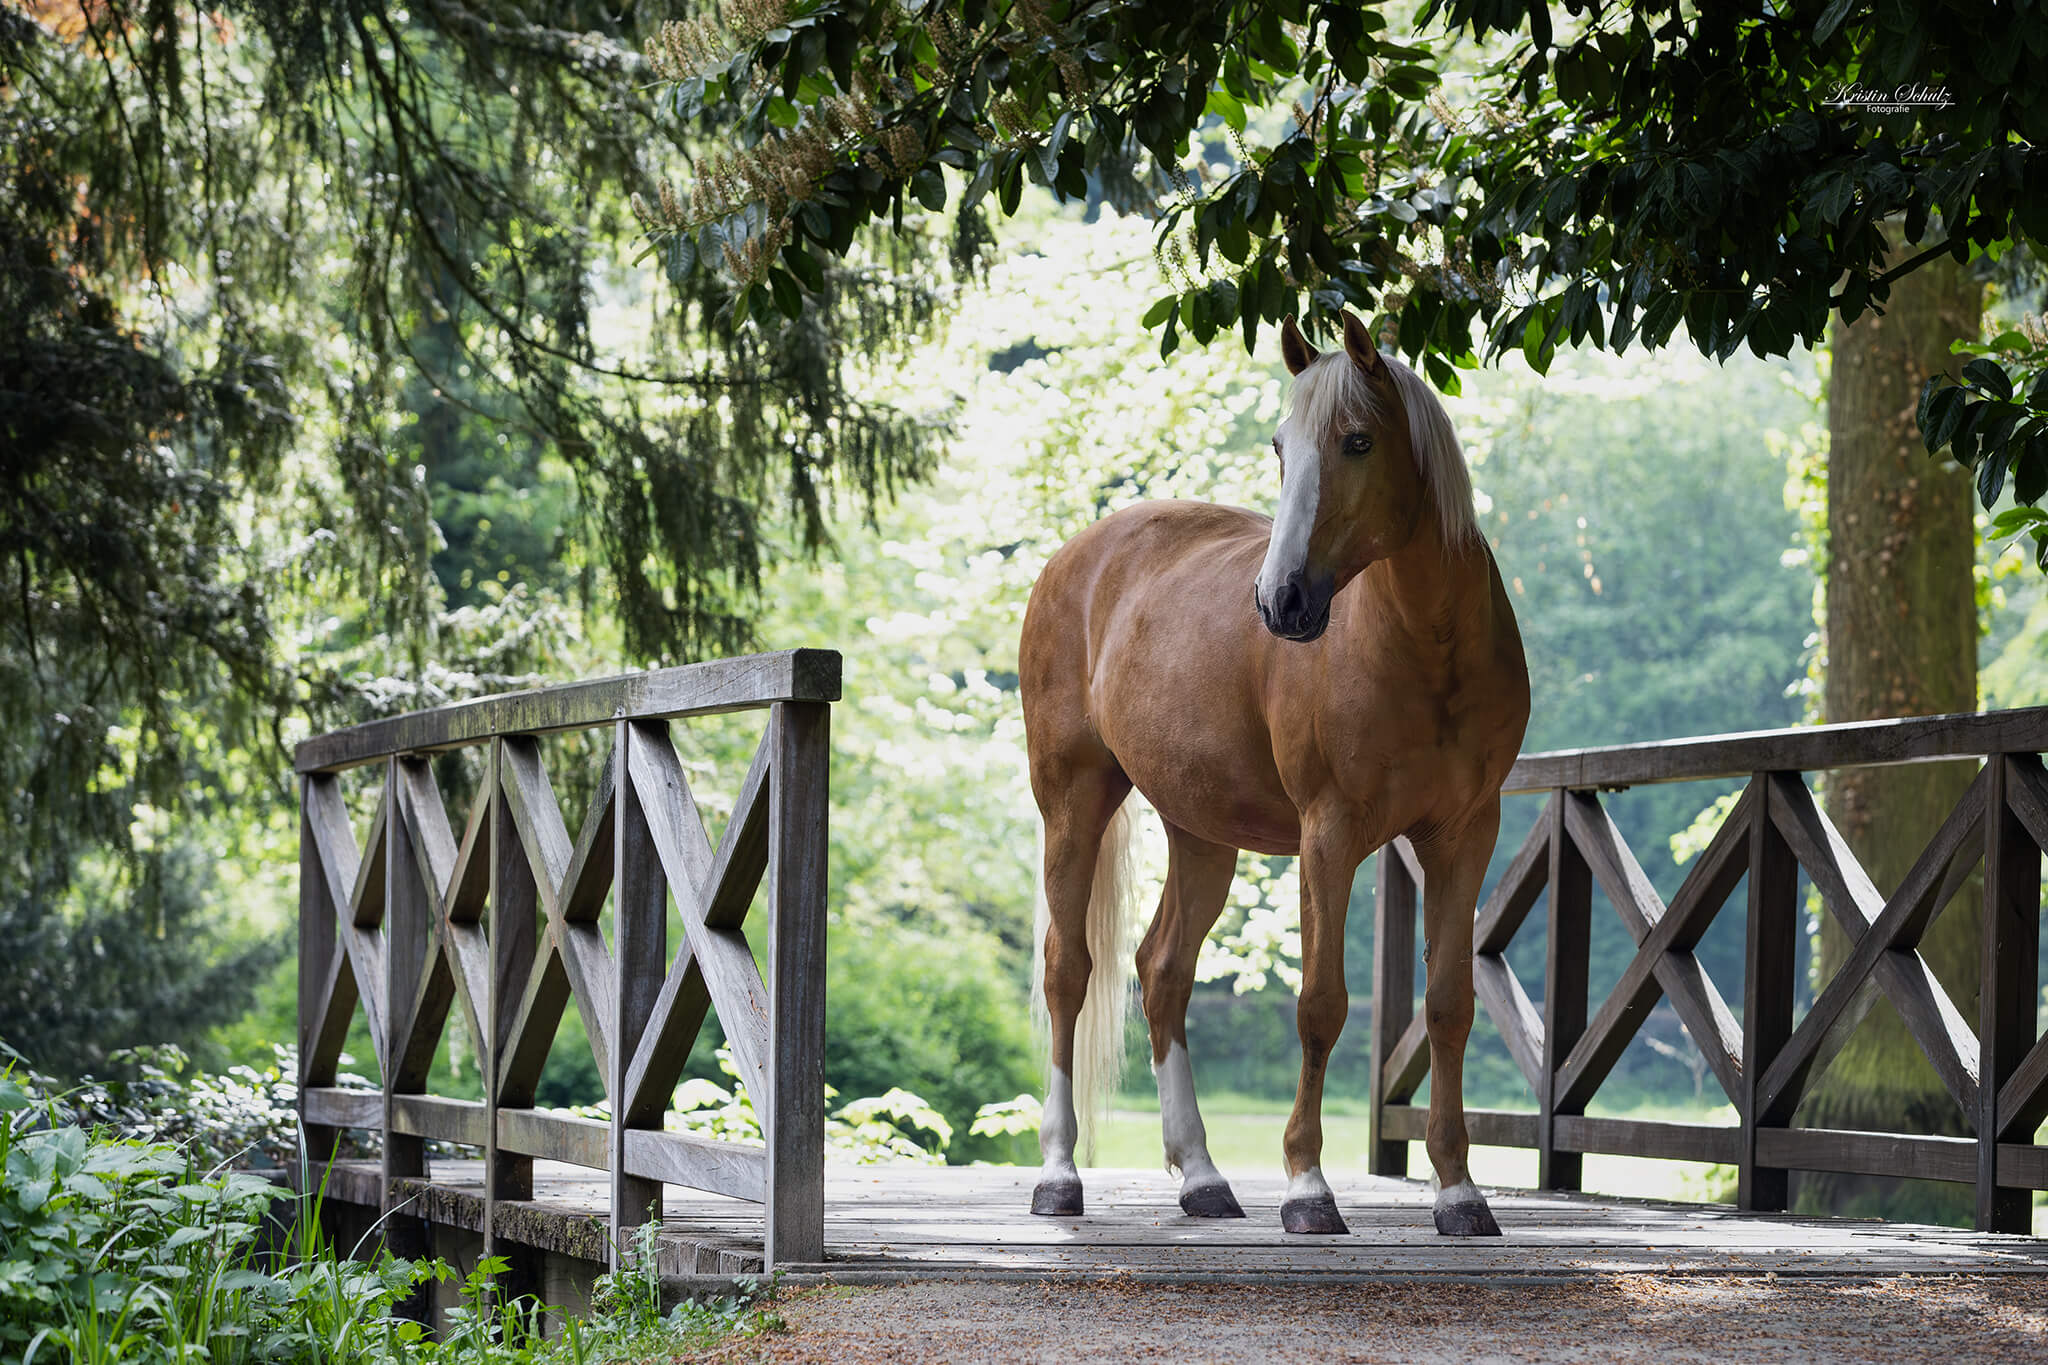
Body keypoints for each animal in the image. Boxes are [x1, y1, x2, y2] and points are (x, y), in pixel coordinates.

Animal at [1018, 310, 1530, 1237]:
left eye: (1358, 440)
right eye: (1281, 445)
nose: (1281, 600)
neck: (1428, 652)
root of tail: (1075, 558)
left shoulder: (1465, 835)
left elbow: (1449, 1005)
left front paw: (1458, 1190)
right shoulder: (1330, 835)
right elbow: (1321, 1004)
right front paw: (1307, 1186)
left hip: (1200, 833)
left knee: (1162, 972)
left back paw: (1202, 1176)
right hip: (1073, 799)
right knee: (1069, 971)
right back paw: (1059, 1173)